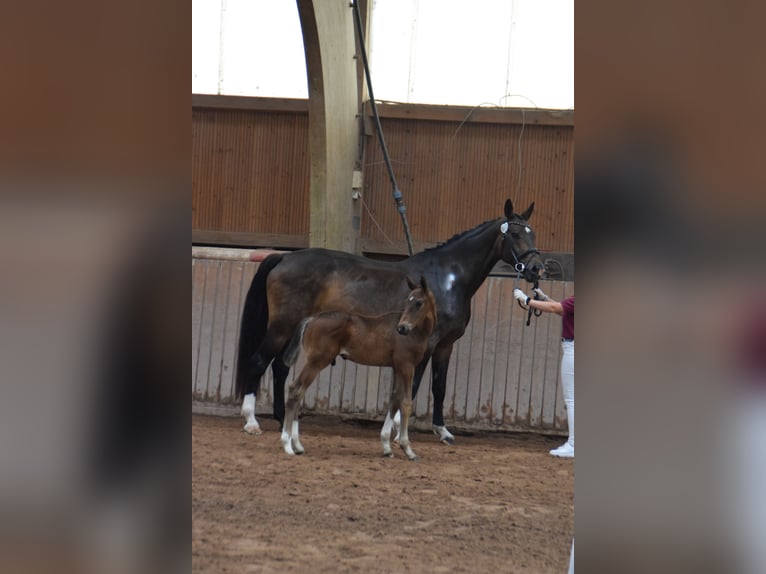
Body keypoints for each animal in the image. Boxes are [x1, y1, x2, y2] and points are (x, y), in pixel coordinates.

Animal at [280, 276, 437, 460]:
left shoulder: (397, 367)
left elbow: (394, 399)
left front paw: (387, 447)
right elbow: (405, 402)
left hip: (312, 362)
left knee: (297, 391)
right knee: (296, 392)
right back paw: (287, 445)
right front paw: (408, 449)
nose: (402, 328)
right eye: (407, 302)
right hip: (316, 362)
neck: (416, 332)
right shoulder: (407, 366)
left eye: (419, 303)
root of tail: (312, 319)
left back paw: (297, 445)